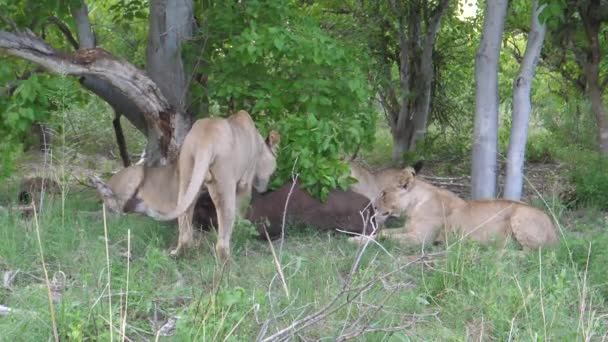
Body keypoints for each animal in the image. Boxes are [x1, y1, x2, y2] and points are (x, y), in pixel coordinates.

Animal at [378, 165, 560, 248]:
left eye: (383, 193)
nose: (374, 206)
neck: (413, 207)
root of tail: (554, 231)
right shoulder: (408, 229)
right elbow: (386, 232)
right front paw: (377, 233)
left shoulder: (421, 239)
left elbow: (388, 238)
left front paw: (370, 240)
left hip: (520, 215)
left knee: (533, 253)